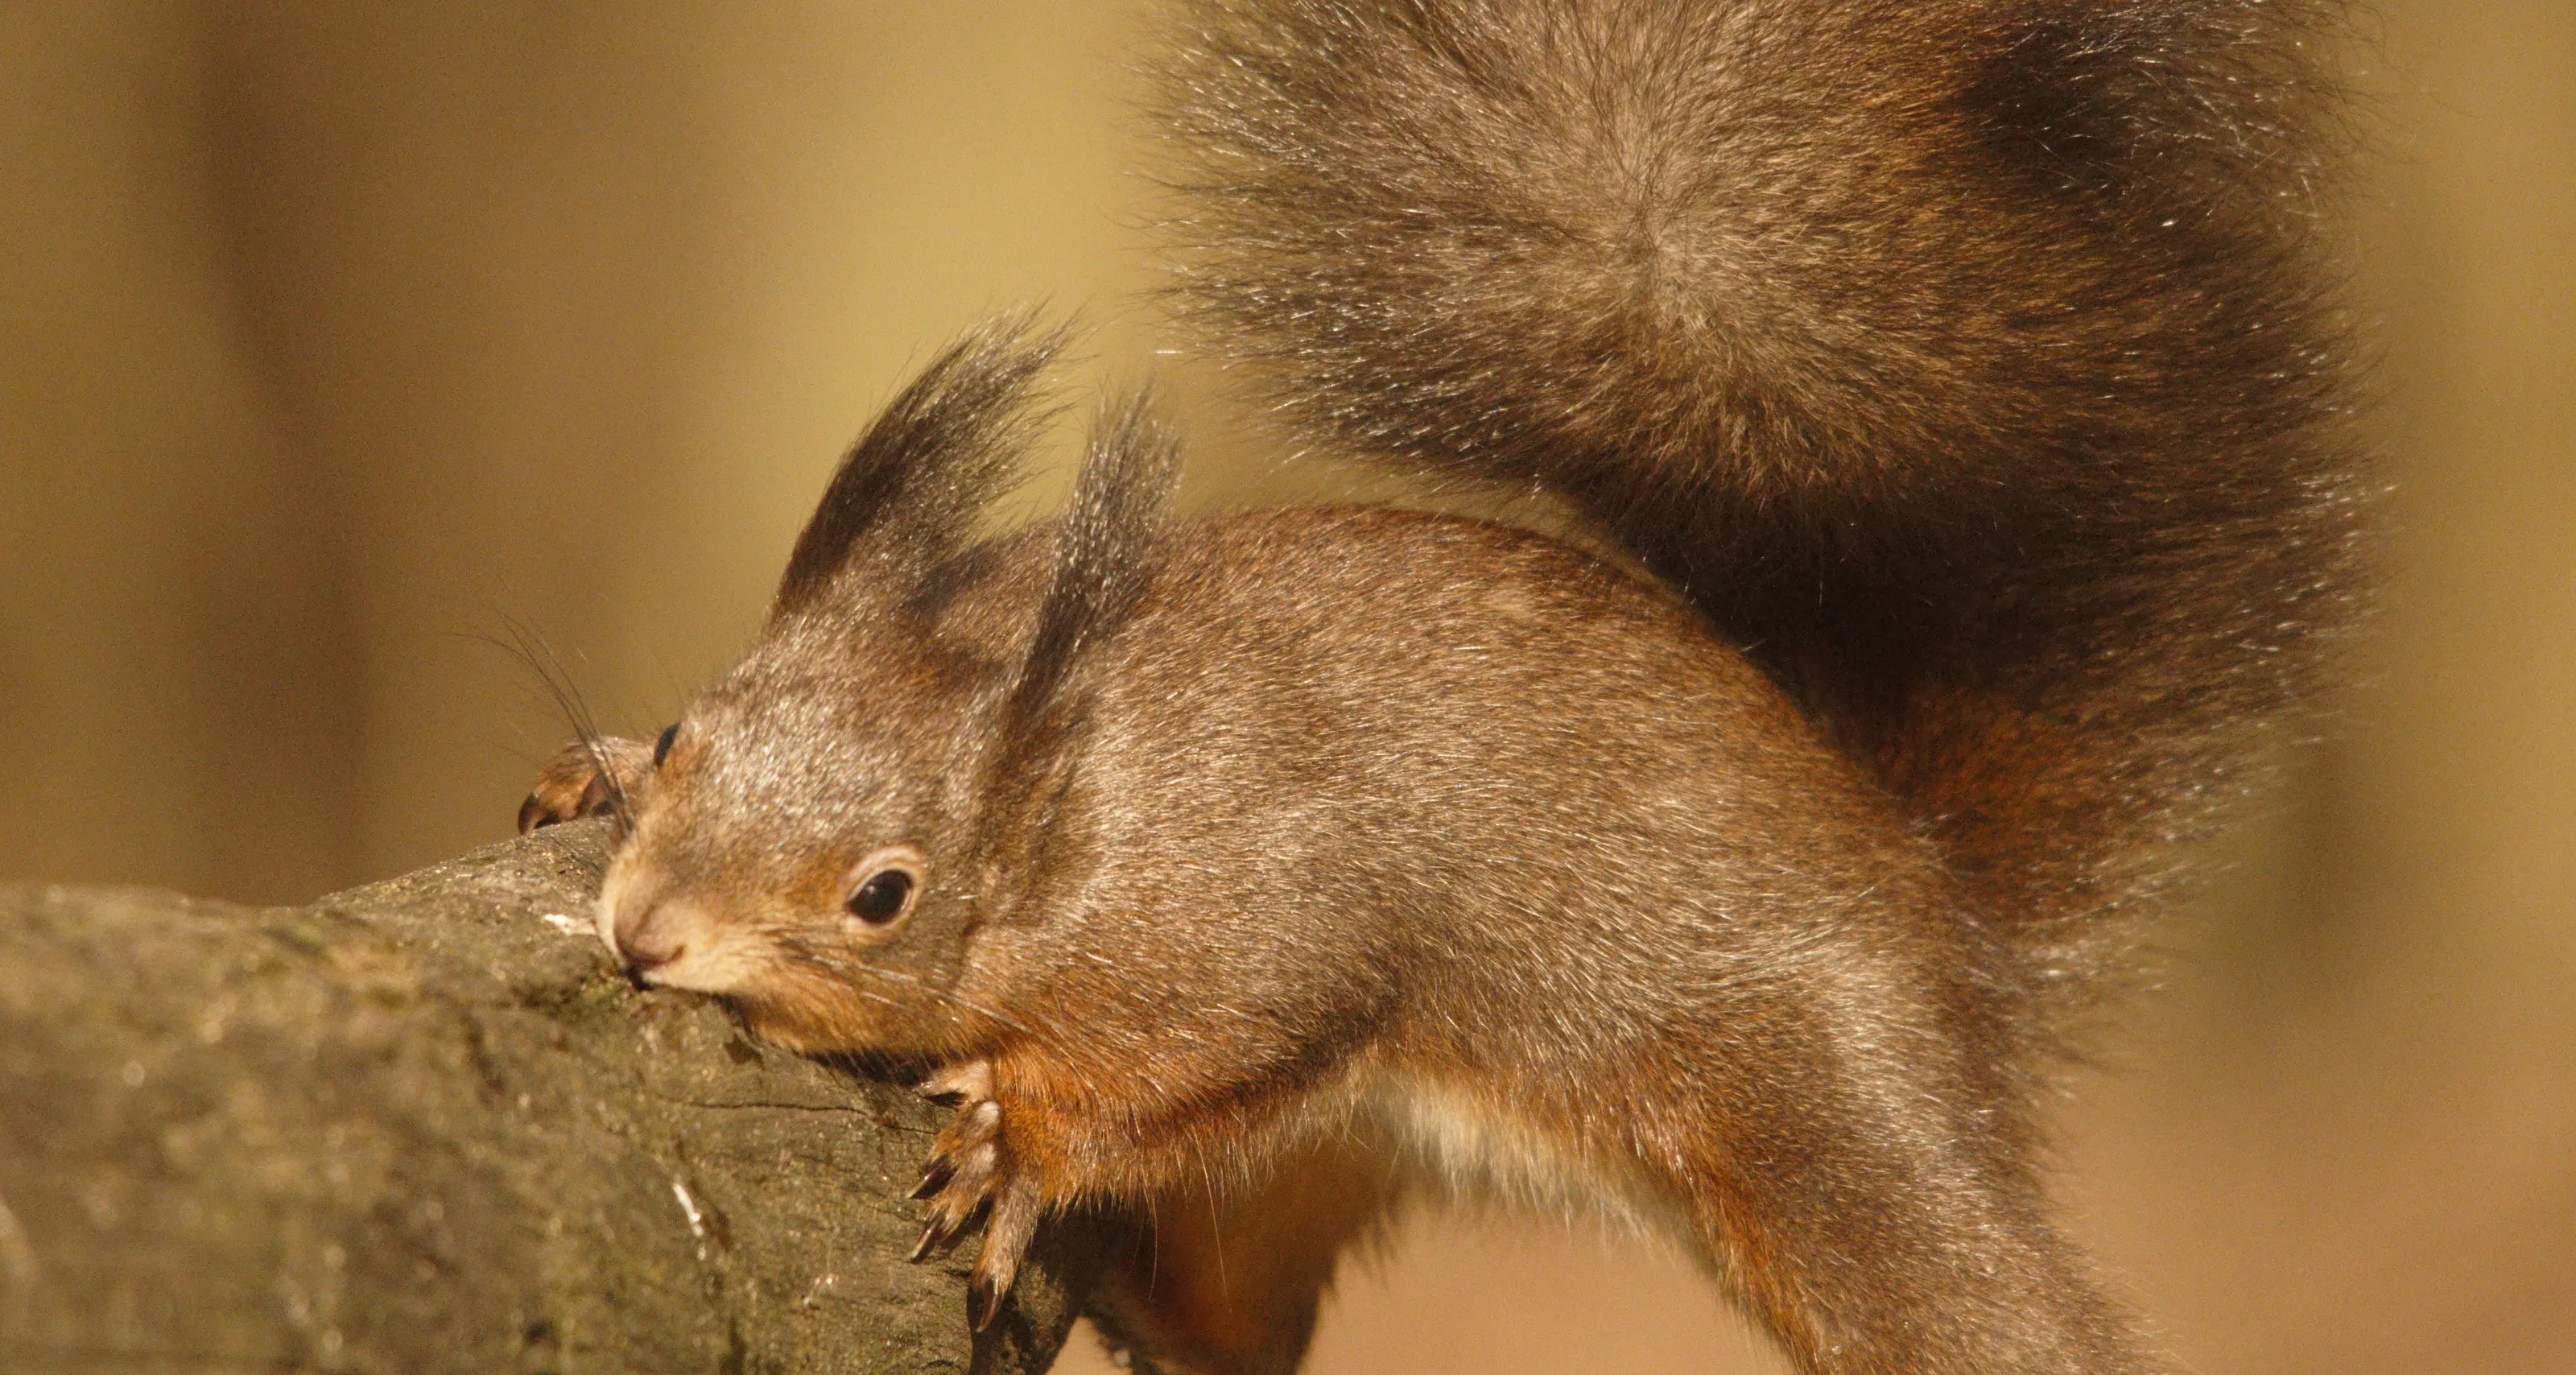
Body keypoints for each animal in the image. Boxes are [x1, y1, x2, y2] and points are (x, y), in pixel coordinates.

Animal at [518, 2, 2367, 1372]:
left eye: (884, 892)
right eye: (689, 728)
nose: (643, 935)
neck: (1080, 792)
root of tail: (1927, 895)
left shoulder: (1259, 933)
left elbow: (1188, 1057)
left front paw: (1018, 1134)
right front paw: (587, 770)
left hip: (1825, 1110)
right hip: (1313, 1173)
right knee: (1236, 1328)